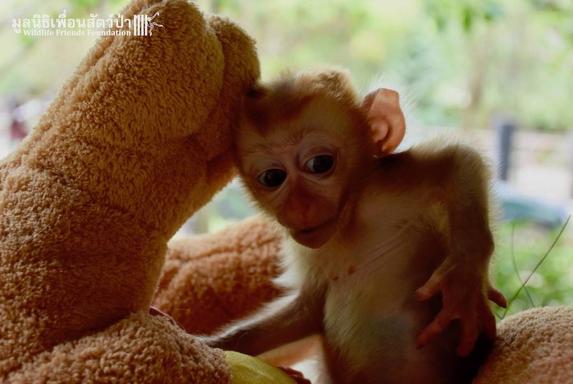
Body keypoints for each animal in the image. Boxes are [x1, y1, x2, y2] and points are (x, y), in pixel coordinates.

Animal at [208, 70, 502, 384]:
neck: (349, 221)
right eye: (272, 177)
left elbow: (456, 159)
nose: (299, 207)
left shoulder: (386, 186)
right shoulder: (311, 250)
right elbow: (309, 310)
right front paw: (211, 346)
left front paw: (463, 280)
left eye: (319, 163)